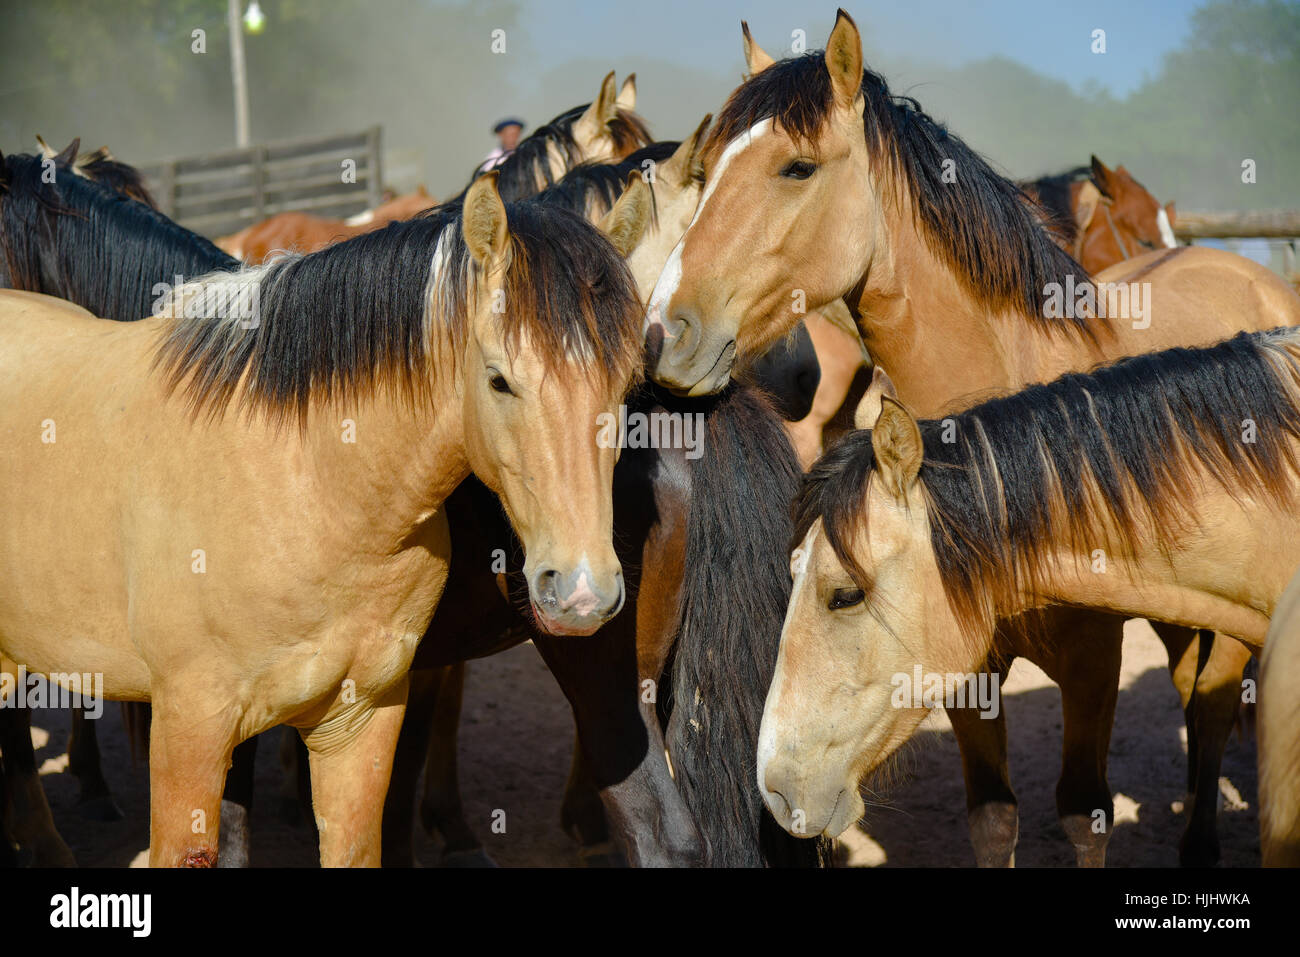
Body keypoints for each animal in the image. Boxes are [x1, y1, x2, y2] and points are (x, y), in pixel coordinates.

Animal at [644, 11, 1300, 868]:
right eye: (706, 171)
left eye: (797, 168)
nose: (662, 333)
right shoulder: (960, 661)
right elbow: (992, 817)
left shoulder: (1094, 666)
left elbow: (1084, 812)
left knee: (1210, 704)